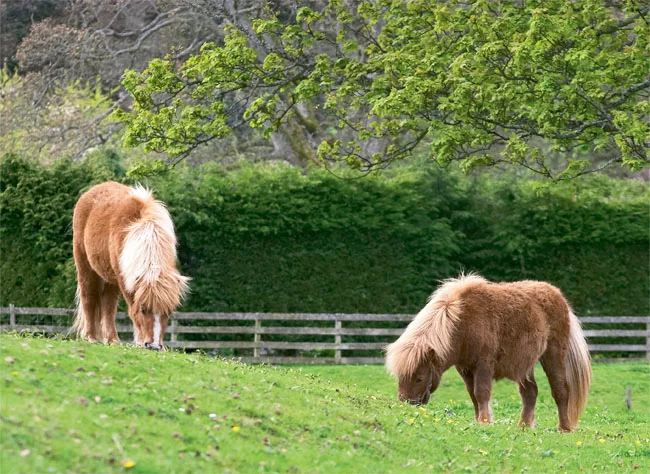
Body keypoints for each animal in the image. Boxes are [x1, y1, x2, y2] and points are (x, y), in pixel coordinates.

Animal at [71, 181, 190, 350]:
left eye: (168, 312)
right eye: (144, 310)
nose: (154, 346)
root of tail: (91, 191)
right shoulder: (125, 280)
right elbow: (133, 309)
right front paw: (139, 341)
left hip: (109, 276)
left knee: (108, 306)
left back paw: (112, 339)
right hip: (85, 265)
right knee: (89, 297)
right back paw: (90, 337)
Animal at [385, 274, 591, 432]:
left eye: (419, 378)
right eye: (400, 377)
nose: (407, 403)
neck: (463, 323)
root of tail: (558, 296)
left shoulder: (483, 365)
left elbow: (481, 392)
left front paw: (485, 421)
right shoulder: (465, 369)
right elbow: (472, 394)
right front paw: (478, 421)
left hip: (553, 355)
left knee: (560, 391)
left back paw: (564, 428)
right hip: (524, 365)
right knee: (530, 393)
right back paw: (524, 426)